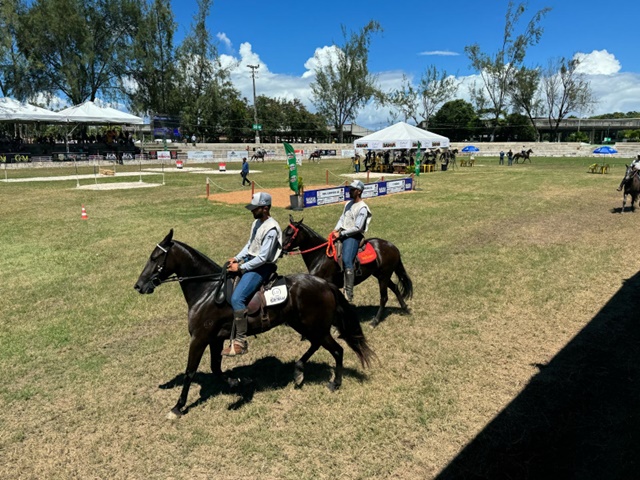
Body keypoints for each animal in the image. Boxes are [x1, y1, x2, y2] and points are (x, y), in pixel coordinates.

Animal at [135, 229, 376, 416]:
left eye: (155, 257)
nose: (139, 286)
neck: (208, 289)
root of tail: (325, 284)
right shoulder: (215, 339)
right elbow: (215, 368)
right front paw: (237, 382)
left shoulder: (199, 338)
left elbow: (190, 371)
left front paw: (178, 406)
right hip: (304, 325)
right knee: (317, 345)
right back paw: (298, 371)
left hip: (315, 326)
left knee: (337, 350)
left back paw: (335, 382)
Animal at [282, 218, 412, 326]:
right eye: (283, 231)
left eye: (289, 233)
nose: (281, 248)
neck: (321, 255)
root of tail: (393, 247)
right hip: (381, 275)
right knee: (395, 288)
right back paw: (405, 308)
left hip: (384, 276)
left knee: (384, 297)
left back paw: (375, 321)